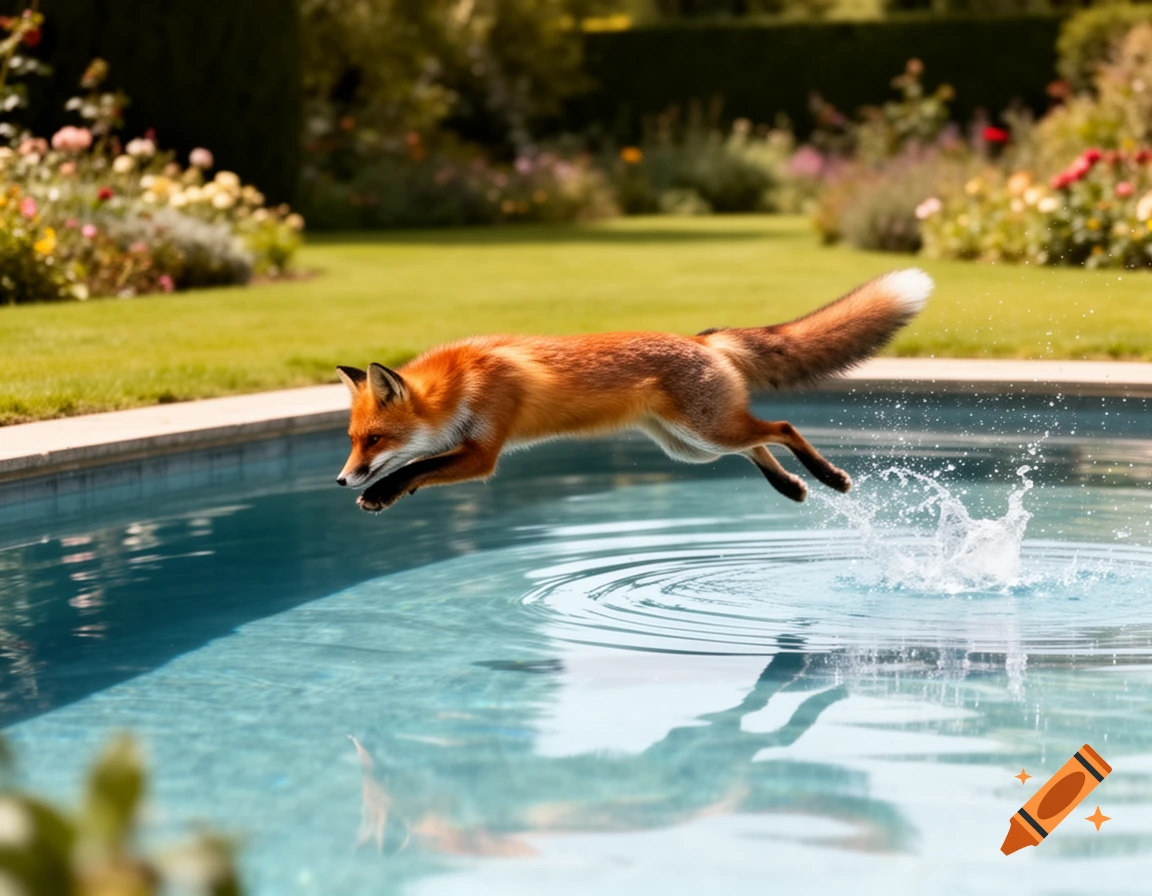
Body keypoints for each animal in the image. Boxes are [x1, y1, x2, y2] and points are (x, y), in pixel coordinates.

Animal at [336, 268, 932, 513]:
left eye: (374, 439)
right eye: (352, 439)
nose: (341, 480)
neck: (464, 381)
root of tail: (702, 339)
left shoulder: (483, 453)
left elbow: (417, 466)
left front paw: (382, 492)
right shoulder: (462, 445)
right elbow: (420, 467)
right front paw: (387, 493)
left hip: (705, 432)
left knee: (782, 427)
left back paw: (828, 478)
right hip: (692, 446)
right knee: (760, 443)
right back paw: (791, 488)